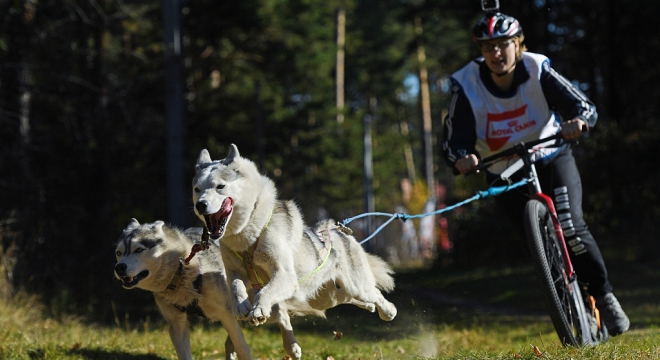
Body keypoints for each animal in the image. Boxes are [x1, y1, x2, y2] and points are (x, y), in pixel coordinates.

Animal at [114, 219, 253, 360]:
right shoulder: (176, 324)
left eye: (138, 249)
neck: (180, 272)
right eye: (118, 253)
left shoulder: (226, 314)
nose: (119, 267)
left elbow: (242, 347)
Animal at [191, 145, 398, 358]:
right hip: (324, 298)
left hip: (354, 287)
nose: (200, 205)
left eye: (220, 186)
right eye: (197, 189)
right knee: (351, 298)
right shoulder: (234, 272)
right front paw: (241, 304)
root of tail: (338, 230)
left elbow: (264, 292)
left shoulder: (284, 275)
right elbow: (236, 286)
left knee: (374, 293)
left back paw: (388, 311)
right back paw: (371, 307)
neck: (247, 235)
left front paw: (258, 309)